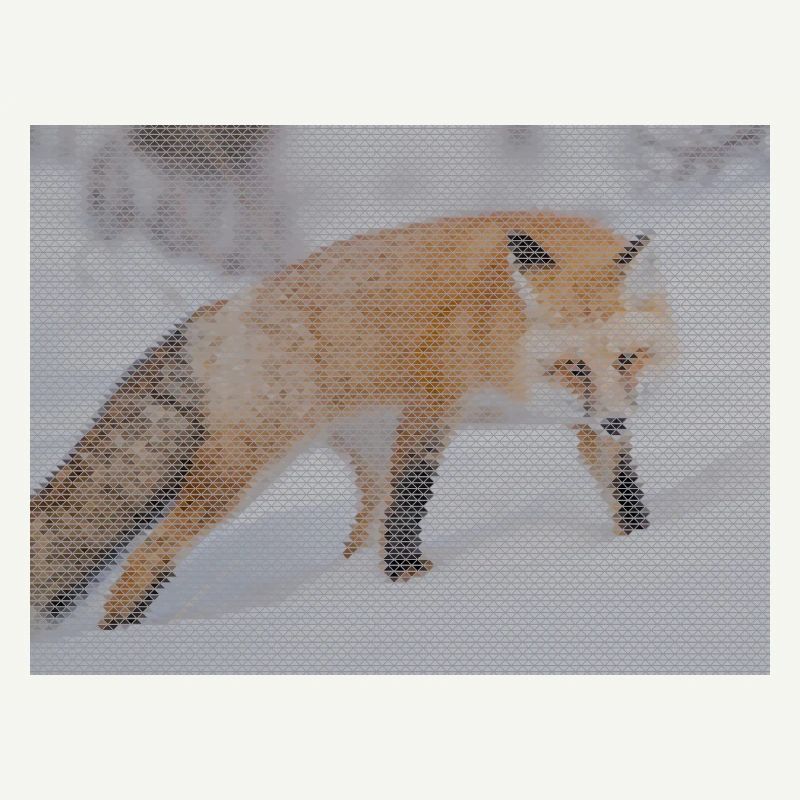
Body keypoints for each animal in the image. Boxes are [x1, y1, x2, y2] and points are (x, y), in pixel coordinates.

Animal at [30, 211, 675, 629]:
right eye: (574, 366)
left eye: (626, 359)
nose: (618, 421)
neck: (501, 338)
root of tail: (218, 310)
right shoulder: (431, 405)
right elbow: (412, 504)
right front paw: (407, 580)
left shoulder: (585, 420)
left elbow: (622, 487)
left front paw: (640, 541)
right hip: (243, 470)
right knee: (147, 555)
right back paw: (121, 634)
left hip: (363, 456)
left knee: (357, 537)